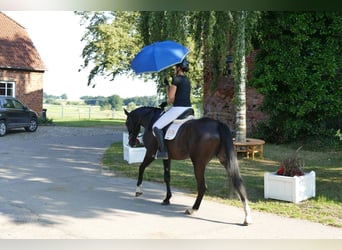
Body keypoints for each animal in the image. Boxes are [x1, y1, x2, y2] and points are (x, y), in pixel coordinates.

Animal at [124, 105, 252, 225]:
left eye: (127, 123)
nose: (131, 142)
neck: (151, 118)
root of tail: (217, 124)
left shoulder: (150, 153)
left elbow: (141, 167)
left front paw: (138, 190)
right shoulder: (167, 157)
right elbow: (167, 177)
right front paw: (167, 199)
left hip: (198, 163)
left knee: (202, 186)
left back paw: (192, 209)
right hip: (224, 159)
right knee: (237, 181)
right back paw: (247, 217)